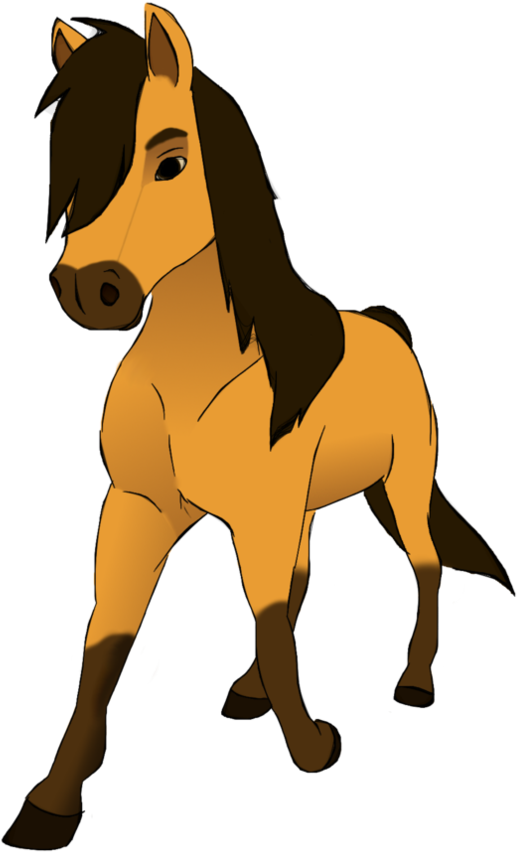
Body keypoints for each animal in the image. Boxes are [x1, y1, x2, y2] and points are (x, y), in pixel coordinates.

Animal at [4, 3, 514, 845]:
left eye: (171, 161)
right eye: (67, 164)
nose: (90, 289)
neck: (190, 368)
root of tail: (392, 334)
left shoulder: (260, 513)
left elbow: (273, 624)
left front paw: (311, 747)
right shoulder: (141, 509)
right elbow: (107, 642)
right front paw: (53, 799)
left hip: (401, 482)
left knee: (423, 565)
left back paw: (412, 681)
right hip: (297, 506)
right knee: (303, 581)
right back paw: (249, 691)